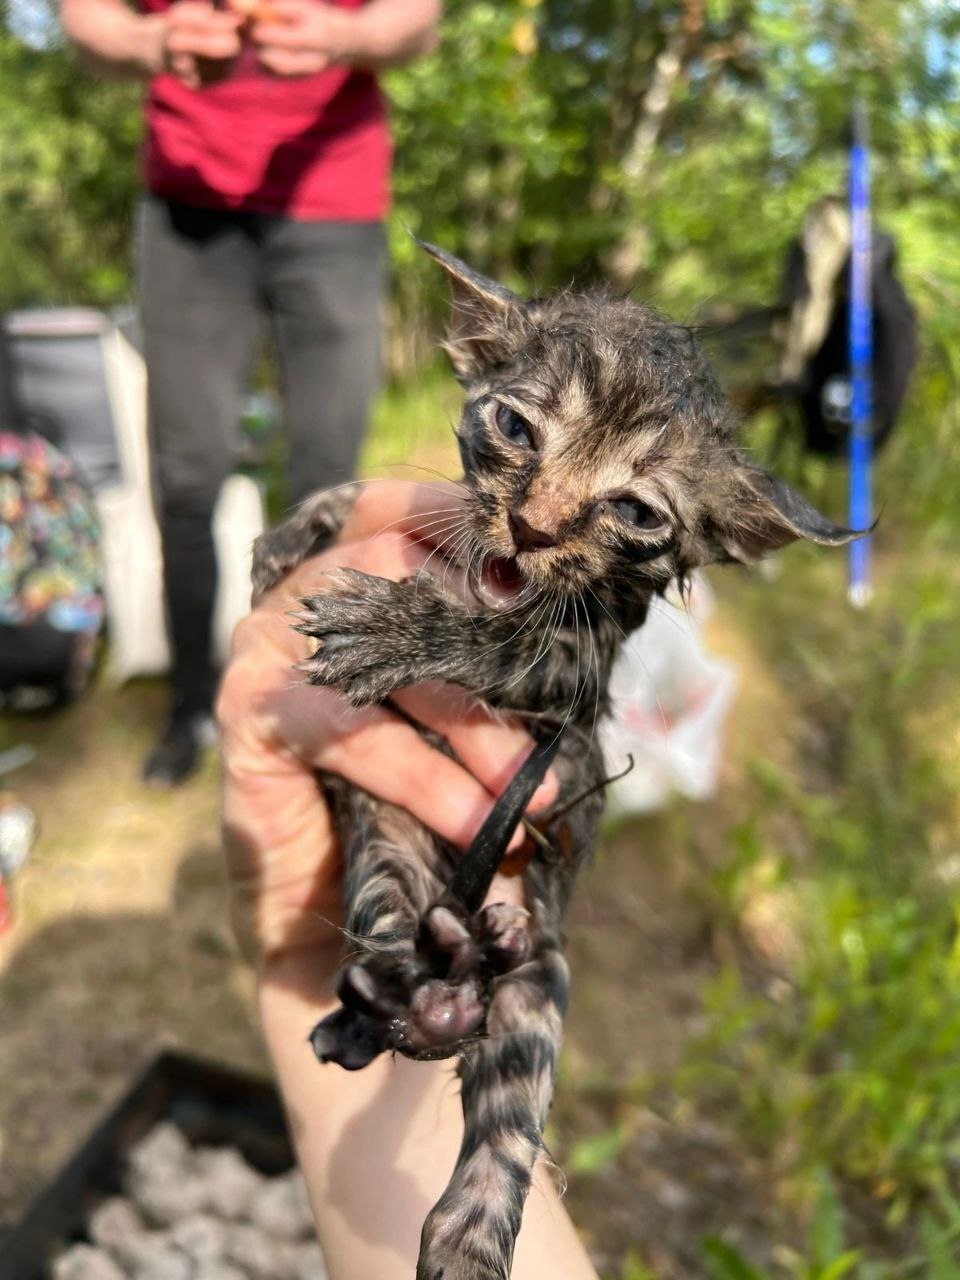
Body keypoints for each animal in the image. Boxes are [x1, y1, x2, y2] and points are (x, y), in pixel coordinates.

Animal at [253, 241, 855, 1280]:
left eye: (637, 511)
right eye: (514, 426)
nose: (532, 526)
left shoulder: (575, 664)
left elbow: (496, 637)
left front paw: (388, 630)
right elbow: (362, 496)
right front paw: (292, 532)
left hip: (540, 972)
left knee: (504, 1121)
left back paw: (466, 1210)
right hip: (393, 871)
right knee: (387, 950)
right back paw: (410, 995)